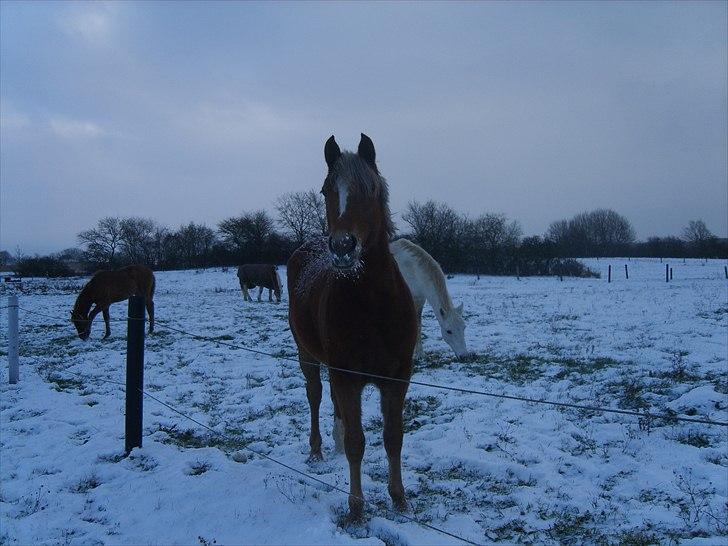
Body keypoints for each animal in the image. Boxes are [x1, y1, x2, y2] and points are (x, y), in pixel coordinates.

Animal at [288, 134, 418, 516]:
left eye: (370, 189)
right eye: (326, 190)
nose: (343, 247)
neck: (373, 307)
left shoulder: (397, 377)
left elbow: (393, 437)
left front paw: (399, 497)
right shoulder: (348, 376)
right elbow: (358, 442)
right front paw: (357, 507)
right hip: (307, 356)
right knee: (315, 395)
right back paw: (317, 448)